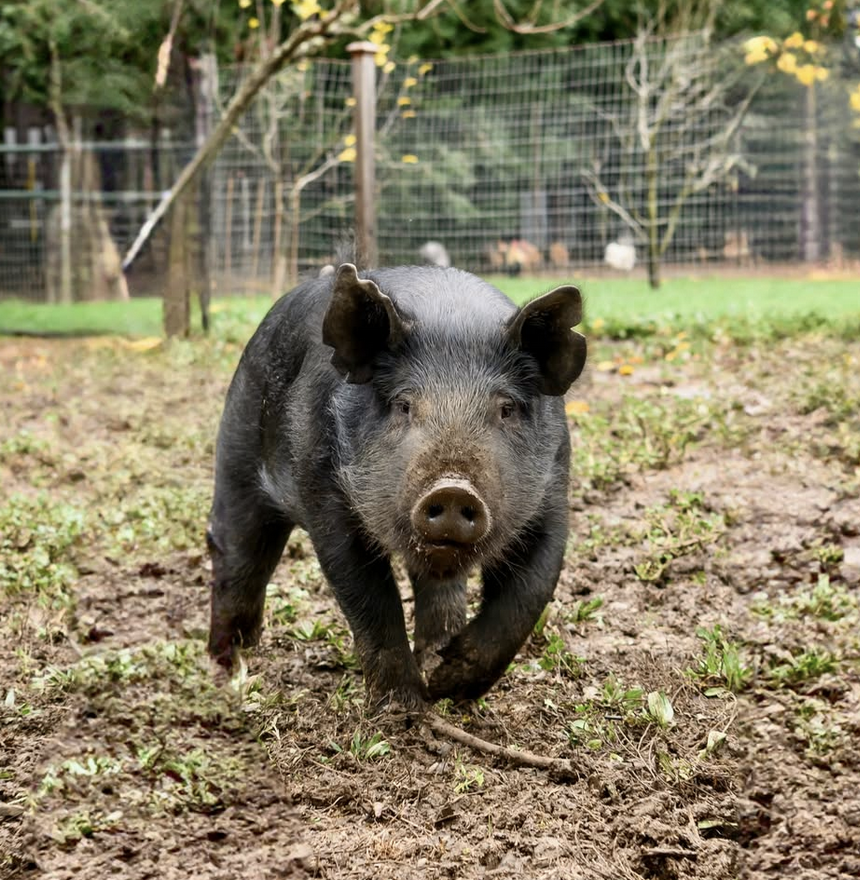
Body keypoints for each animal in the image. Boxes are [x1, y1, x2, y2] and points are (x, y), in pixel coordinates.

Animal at [207, 263, 586, 710]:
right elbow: (371, 600)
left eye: (506, 408)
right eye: (404, 404)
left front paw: (446, 688)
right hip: (236, 452)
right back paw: (230, 664)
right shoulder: (327, 499)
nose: (453, 488)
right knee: (238, 554)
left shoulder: (554, 494)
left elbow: (526, 598)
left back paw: (435, 653)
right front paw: (404, 708)